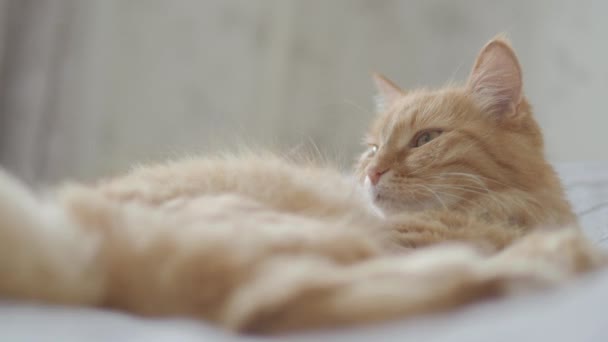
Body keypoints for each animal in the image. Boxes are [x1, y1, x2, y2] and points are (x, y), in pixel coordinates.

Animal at [0, 35, 604, 334]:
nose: (371, 173)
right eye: (372, 148)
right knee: (263, 307)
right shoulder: (397, 239)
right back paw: (545, 262)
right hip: (309, 231)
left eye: (424, 139)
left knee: (268, 305)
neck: (503, 212)